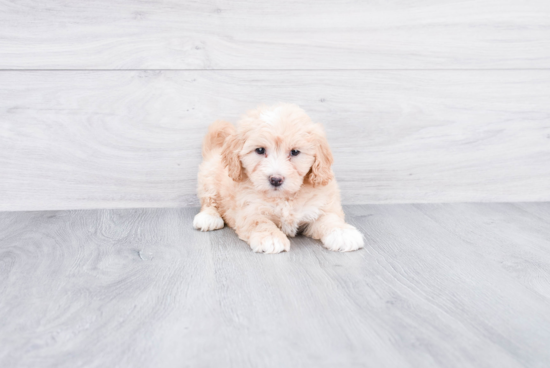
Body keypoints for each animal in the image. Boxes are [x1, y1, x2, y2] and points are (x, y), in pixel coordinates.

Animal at [194, 103, 366, 253]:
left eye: (295, 152)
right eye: (260, 150)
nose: (276, 179)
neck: (284, 198)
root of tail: (215, 150)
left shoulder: (320, 205)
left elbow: (330, 218)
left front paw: (343, 233)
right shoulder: (249, 209)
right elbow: (259, 222)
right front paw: (270, 237)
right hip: (208, 179)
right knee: (208, 201)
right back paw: (208, 218)